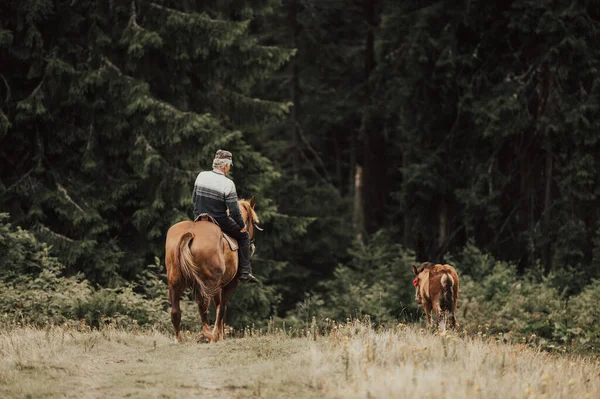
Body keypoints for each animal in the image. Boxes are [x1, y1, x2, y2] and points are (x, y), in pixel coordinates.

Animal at [164, 198, 260, 342]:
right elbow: (222, 309)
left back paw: (180, 339)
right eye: (254, 221)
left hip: (174, 282)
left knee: (176, 311)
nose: (252, 245)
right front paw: (219, 336)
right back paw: (209, 334)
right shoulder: (229, 284)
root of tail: (190, 233)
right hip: (209, 283)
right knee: (207, 305)